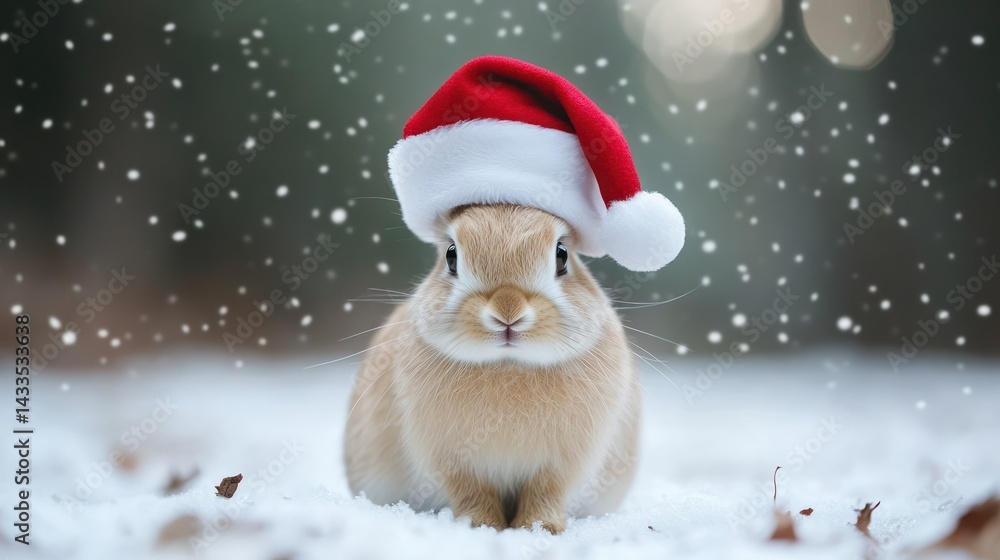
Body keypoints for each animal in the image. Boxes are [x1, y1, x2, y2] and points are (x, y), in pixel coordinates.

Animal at [344, 203, 641, 534]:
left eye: (562, 255)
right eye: (451, 256)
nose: (507, 311)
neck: (508, 366)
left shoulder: (558, 467)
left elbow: (545, 493)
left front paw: (540, 527)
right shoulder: (457, 464)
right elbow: (474, 494)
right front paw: (481, 525)